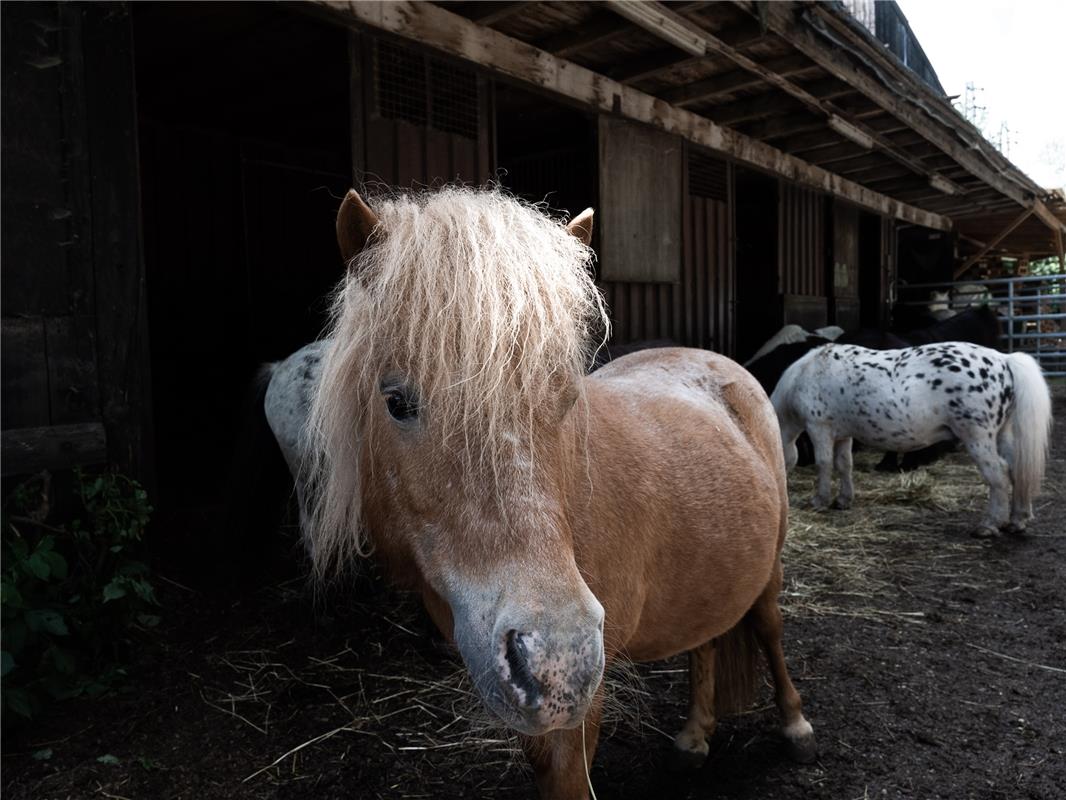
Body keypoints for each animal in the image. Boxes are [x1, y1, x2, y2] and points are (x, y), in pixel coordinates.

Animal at [309, 186, 814, 797]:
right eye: (396, 401)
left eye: (568, 397)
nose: (558, 661)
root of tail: (717, 362)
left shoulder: (575, 722)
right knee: (708, 639)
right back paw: (694, 737)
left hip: (770, 569)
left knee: (769, 627)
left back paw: (796, 726)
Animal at [771, 341, 1053, 535]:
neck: (807, 373)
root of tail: (1003, 359)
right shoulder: (842, 434)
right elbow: (844, 465)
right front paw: (843, 500)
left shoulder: (819, 428)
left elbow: (824, 464)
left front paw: (819, 500)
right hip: (1002, 435)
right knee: (1016, 470)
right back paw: (1017, 519)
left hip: (978, 438)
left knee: (999, 475)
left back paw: (989, 525)